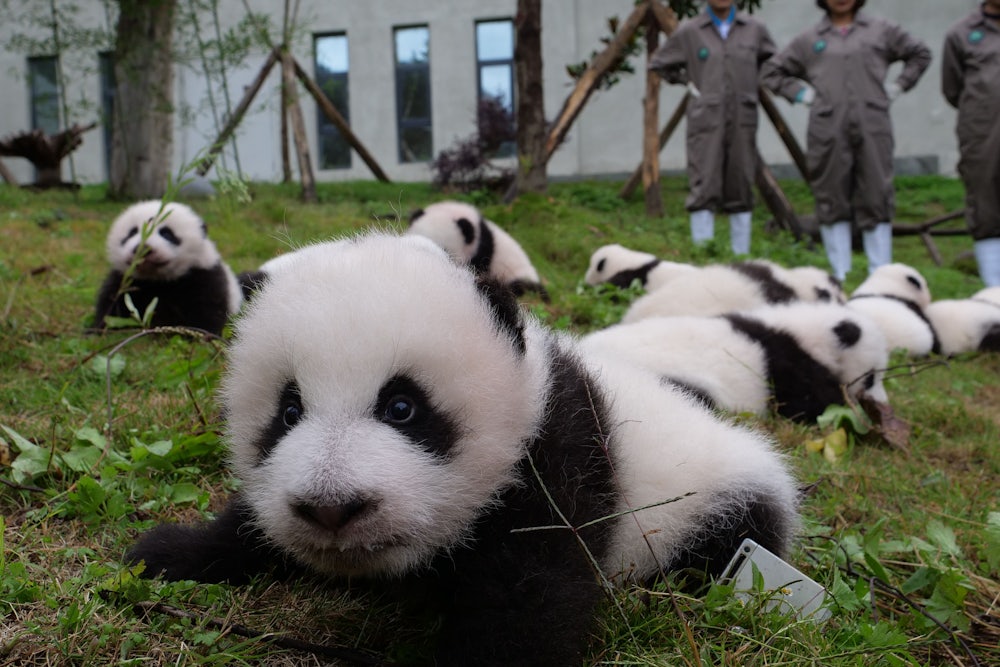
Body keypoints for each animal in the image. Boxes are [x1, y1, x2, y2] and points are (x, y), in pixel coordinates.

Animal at [93, 200, 242, 335]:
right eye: (132, 232)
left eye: (167, 233)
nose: (144, 248)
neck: (156, 280)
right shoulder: (125, 281)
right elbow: (111, 305)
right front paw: (99, 330)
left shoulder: (203, 276)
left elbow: (206, 308)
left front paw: (199, 333)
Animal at [126, 232, 800, 666]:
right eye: (288, 411)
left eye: (402, 407)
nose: (331, 508)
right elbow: (251, 522)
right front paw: (169, 552)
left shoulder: (554, 461)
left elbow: (528, 601)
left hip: (720, 513)